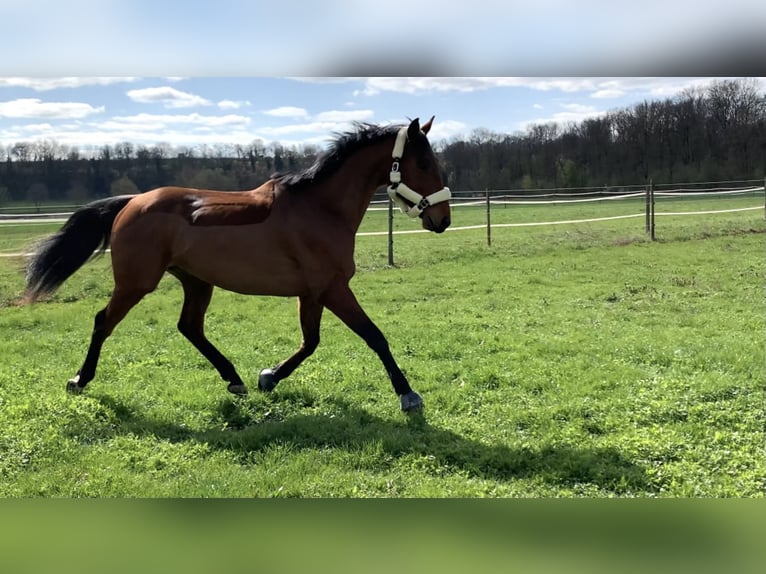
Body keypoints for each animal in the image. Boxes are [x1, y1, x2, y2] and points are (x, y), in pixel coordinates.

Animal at [24, 117, 452, 414]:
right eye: (423, 163)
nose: (443, 219)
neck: (321, 207)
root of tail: (133, 202)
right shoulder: (333, 288)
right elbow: (374, 336)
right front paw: (408, 395)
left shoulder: (312, 293)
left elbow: (310, 342)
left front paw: (268, 377)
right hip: (136, 283)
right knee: (103, 322)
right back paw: (80, 379)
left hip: (197, 281)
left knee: (190, 327)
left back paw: (234, 380)